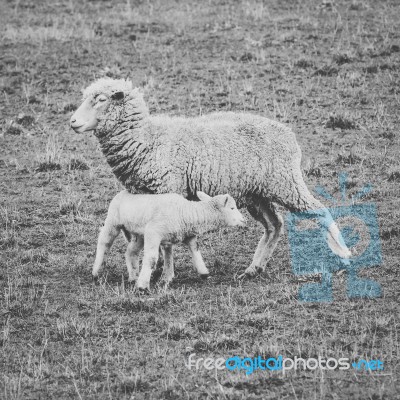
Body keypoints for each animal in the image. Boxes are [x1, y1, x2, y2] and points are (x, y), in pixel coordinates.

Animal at [70, 78, 352, 278]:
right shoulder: (142, 197)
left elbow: (163, 240)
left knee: (319, 210)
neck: (148, 139)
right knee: (274, 225)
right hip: (256, 193)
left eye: (101, 99)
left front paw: (161, 270)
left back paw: (344, 254)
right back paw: (254, 268)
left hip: (285, 183)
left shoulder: (167, 188)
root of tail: (288, 134)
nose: (72, 122)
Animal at [92, 189, 245, 292]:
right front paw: (142, 286)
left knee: (131, 252)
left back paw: (133, 276)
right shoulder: (154, 231)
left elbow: (194, 249)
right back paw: (96, 272)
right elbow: (152, 259)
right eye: (232, 208)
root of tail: (122, 192)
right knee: (105, 242)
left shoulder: (185, 234)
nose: (244, 220)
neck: (185, 211)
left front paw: (203, 272)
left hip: (139, 233)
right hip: (113, 221)